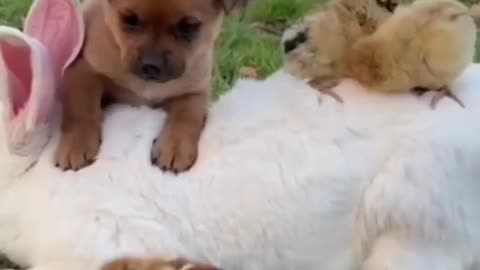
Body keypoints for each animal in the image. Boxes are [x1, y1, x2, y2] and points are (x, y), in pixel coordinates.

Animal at [55, 0, 244, 173]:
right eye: (130, 20)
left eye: (188, 27)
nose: (151, 65)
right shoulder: (84, 72)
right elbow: (81, 112)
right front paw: (76, 144)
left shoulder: (195, 92)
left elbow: (186, 118)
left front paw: (175, 147)